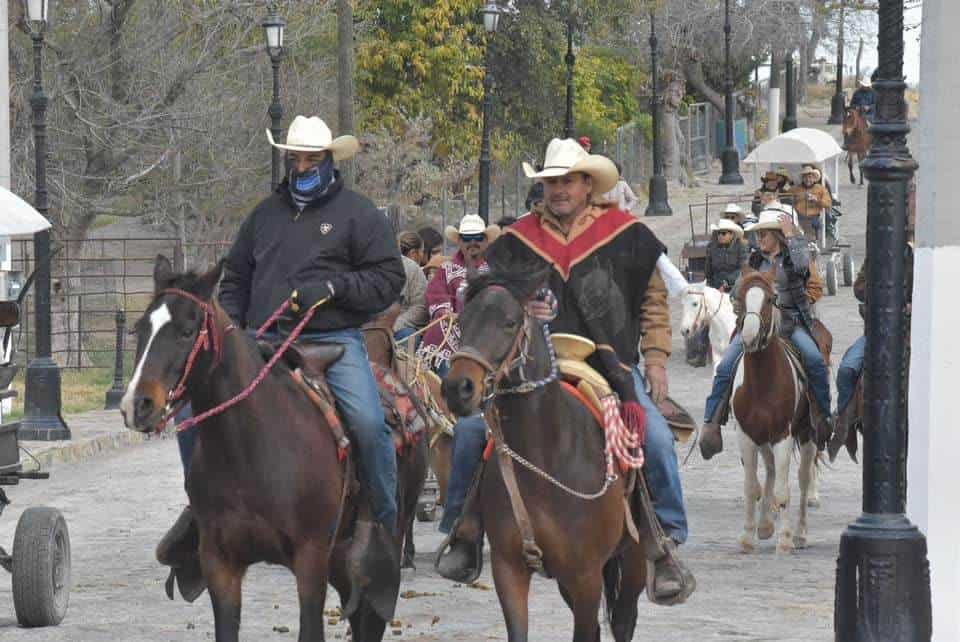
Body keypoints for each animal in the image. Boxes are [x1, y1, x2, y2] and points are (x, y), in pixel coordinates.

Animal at [124, 256, 428, 640]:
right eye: (140, 328)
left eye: (187, 330)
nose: (138, 405)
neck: (249, 450)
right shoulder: (219, 562)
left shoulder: (311, 558)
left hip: (383, 540)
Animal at [732, 268, 820, 552]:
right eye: (739, 297)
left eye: (771, 299)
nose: (749, 337)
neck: (762, 381)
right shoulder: (746, 437)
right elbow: (752, 487)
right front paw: (748, 536)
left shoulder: (783, 435)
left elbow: (783, 491)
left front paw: (785, 539)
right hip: (763, 438)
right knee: (770, 471)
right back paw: (764, 525)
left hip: (806, 434)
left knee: (803, 479)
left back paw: (800, 533)